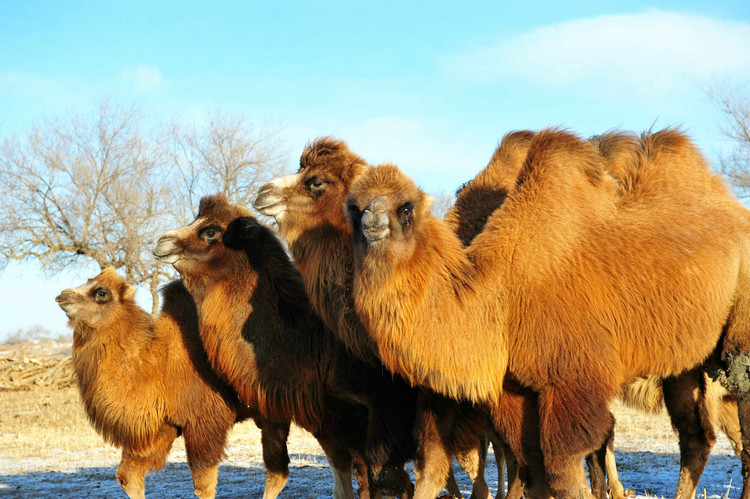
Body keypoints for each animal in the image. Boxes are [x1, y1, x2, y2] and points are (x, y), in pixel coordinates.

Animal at [55, 270, 294, 499]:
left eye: (101, 293)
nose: (62, 296)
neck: (161, 364)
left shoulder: (204, 421)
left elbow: (204, 485)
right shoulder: (162, 427)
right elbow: (127, 476)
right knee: (278, 471)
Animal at [152, 195, 420, 499]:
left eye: (211, 231)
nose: (162, 242)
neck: (317, 343)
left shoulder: (382, 406)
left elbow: (385, 479)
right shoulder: (330, 417)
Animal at [348, 130, 750, 499]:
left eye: (405, 209)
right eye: (354, 207)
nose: (371, 220)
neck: (503, 293)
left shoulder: (570, 379)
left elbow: (563, 470)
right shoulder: (515, 389)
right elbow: (530, 465)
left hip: (738, 333)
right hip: (686, 360)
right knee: (696, 437)